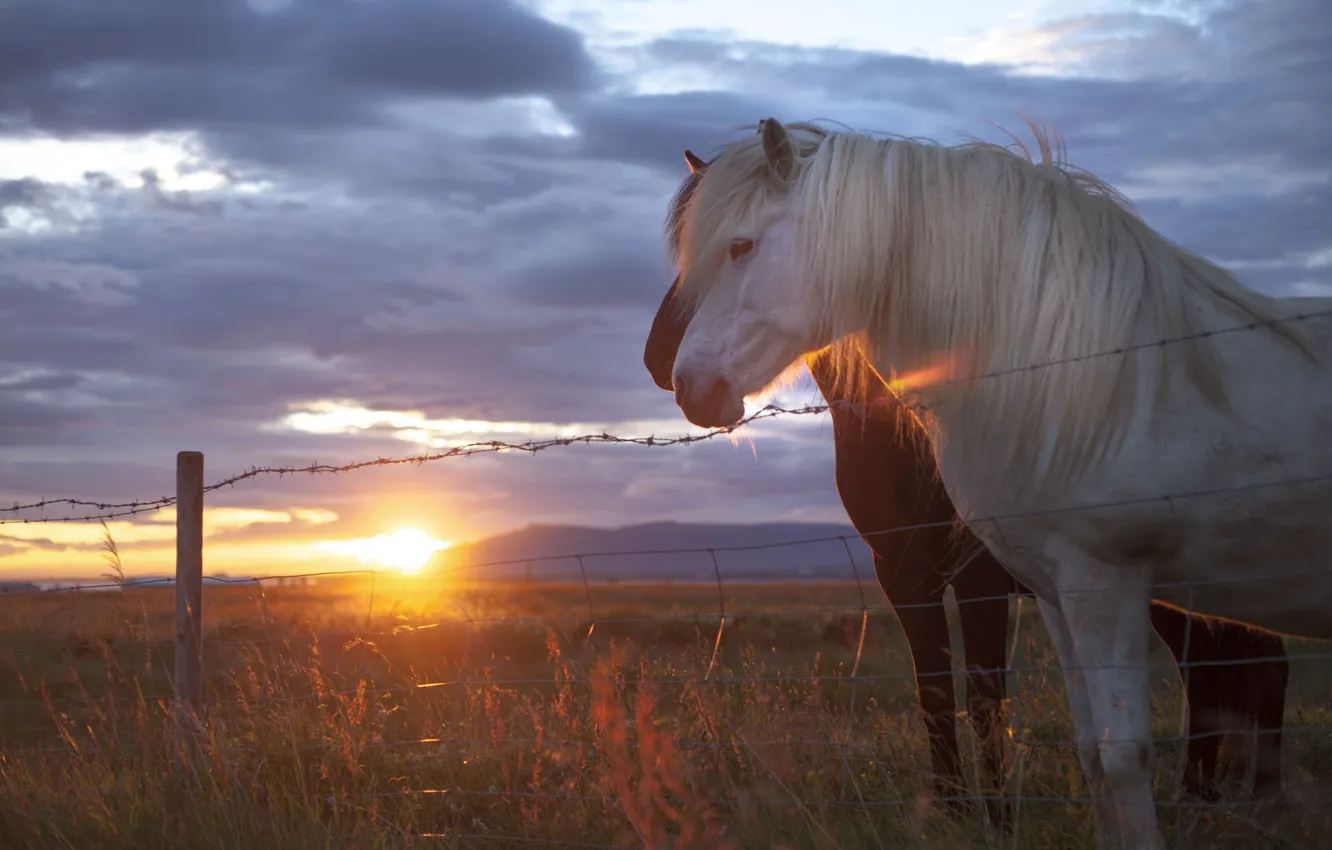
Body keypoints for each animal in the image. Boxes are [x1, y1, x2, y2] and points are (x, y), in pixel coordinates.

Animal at [659, 118, 1331, 849]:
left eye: (740, 245)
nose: (681, 379)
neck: (1084, 374)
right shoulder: (1017, 586)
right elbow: (1042, 734)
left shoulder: (1075, 582)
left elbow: (1058, 729)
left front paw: (993, 817)